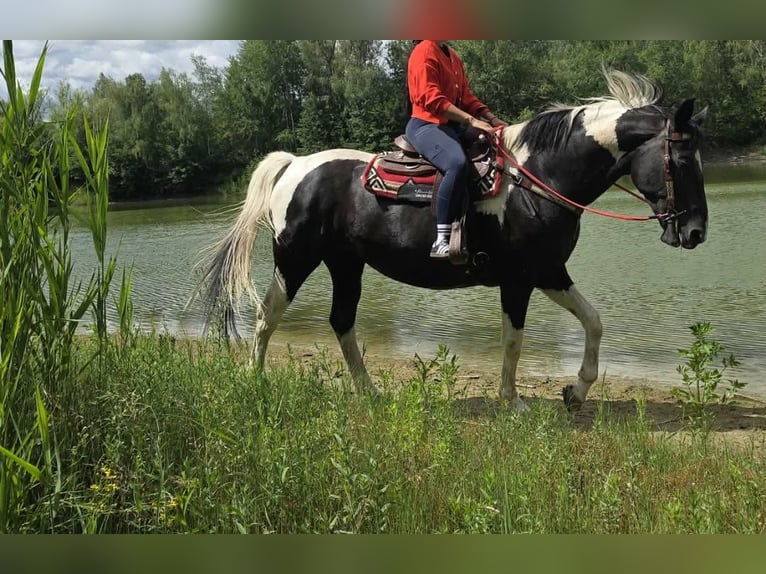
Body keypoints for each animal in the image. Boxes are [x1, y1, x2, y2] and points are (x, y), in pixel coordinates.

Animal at [195, 69, 708, 412]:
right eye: (683, 161)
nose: (696, 232)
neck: (538, 178)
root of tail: (295, 164)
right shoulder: (521, 280)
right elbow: (513, 340)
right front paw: (513, 401)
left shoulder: (549, 272)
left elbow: (594, 321)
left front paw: (575, 391)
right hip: (296, 259)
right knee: (267, 315)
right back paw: (257, 380)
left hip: (346, 265)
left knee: (341, 322)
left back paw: (370, 392)